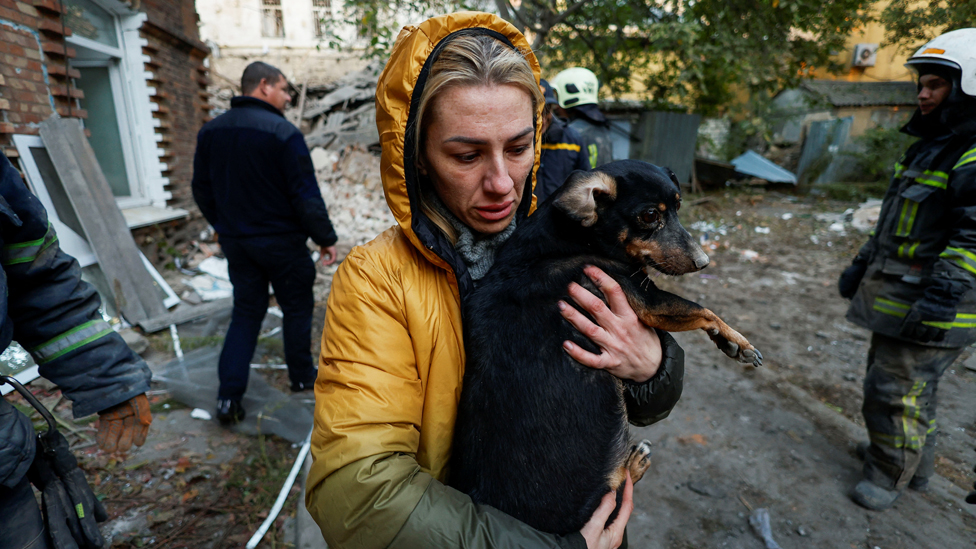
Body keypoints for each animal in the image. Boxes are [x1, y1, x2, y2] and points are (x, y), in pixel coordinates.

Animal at [450, 158, 764, 536]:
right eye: (649, 215)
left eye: (678, 206)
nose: (704, 262)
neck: (575, 237)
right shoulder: (646, 299)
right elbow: (700, 308)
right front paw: (736, 341)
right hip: (604, 497)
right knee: (621, 485)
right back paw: (636, 462)